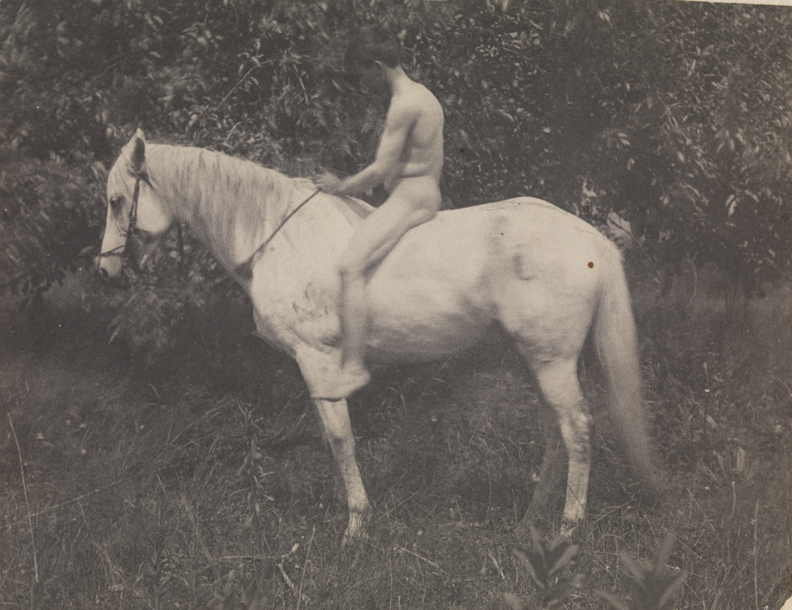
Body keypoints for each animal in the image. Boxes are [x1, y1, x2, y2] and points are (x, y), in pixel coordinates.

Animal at [99, 130, 665, 543]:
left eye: (116, 200)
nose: (105, 270)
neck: (278, 237)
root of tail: (593, 240)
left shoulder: (316, 361)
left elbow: (339, 439)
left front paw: (356, 527)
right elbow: (331, 438)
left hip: (551, 361)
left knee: (578, 431)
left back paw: (567, 533)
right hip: (540, 361)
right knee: (555, 433)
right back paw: (529, 525)